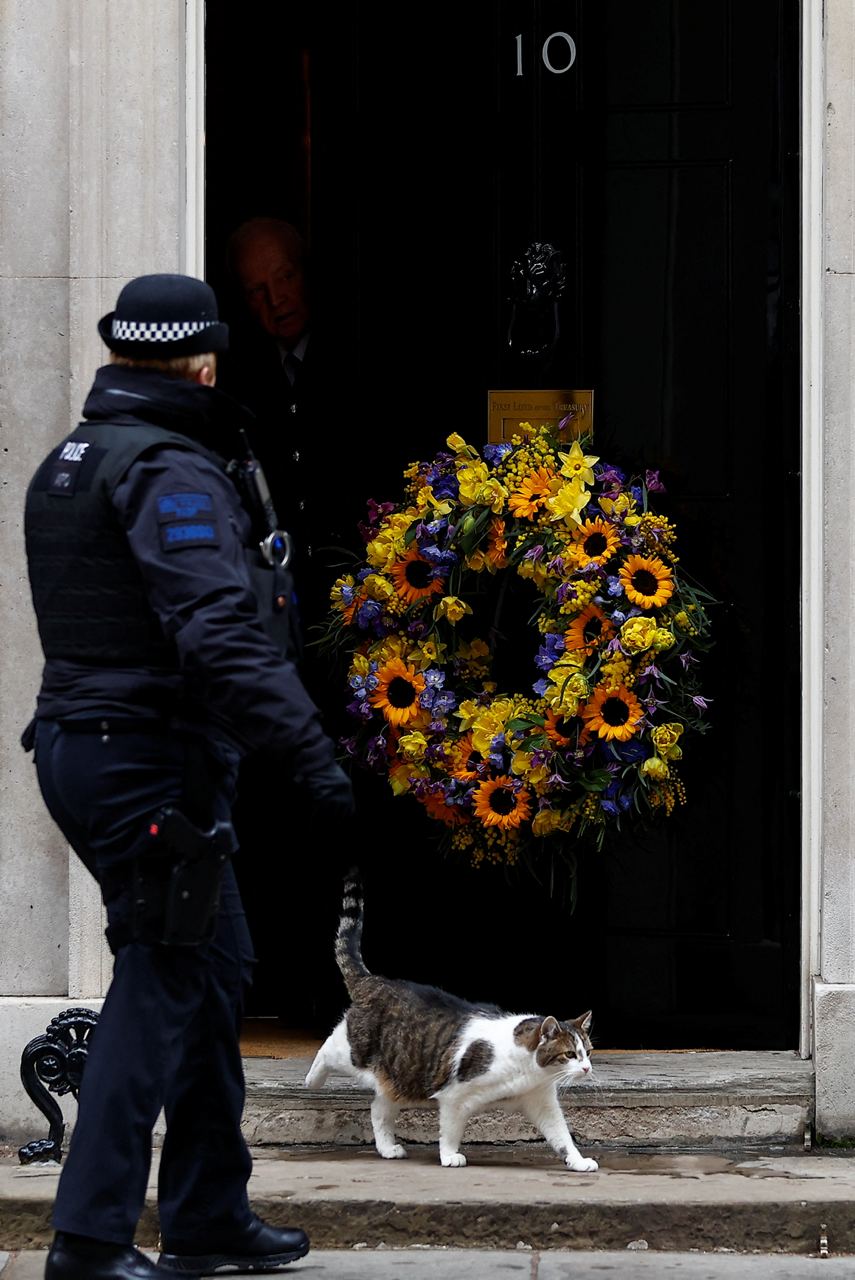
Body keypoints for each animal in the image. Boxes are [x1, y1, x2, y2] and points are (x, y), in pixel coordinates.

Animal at [303, 870, 599, 1172]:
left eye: (588, 1052)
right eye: (569, 1054)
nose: (587, 1068)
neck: (527, 1071)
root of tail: (373, 980)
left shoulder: (541, 1101)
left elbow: (561, 1136)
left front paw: (578, 1161)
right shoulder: (453, 1096)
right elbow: (450, 1130)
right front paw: (449, 1156)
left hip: (401, 1075)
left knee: (379, 1109)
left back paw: (388, 1148)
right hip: (355, 1052)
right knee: (328, 1048)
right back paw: (312, 1080)